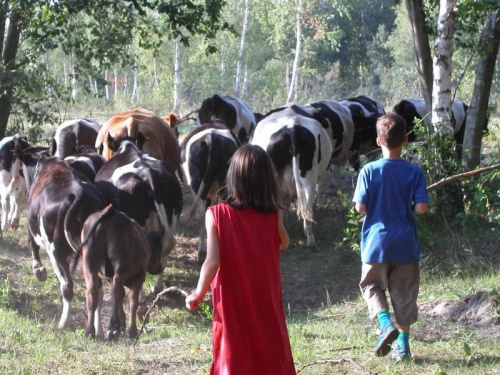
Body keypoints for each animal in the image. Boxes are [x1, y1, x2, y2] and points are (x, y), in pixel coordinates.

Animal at [14, 145, 106, 330]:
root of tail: (79, 194)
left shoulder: (31, 227)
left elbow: (32, 245)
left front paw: (39, 270)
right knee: (97, 287)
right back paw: (98, 328)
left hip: (57, 251)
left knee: (67, 285)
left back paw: (63, 322)